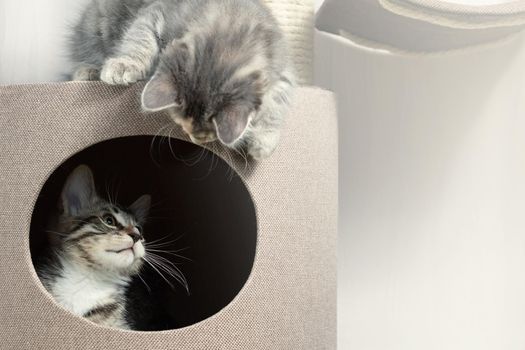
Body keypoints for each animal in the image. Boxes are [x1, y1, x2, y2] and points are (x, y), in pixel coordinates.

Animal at [68, 0, 294, 159]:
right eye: (182, 121)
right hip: (93, 29)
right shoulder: (156, 12)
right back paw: (88, 71)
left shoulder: (285, 73)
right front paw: (125, 64)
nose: (199, 139)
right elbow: (140, 39)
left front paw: (264, 139)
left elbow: (276, 106)